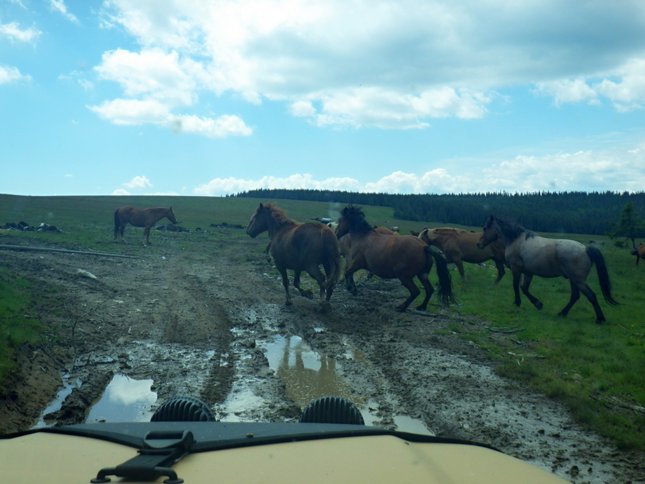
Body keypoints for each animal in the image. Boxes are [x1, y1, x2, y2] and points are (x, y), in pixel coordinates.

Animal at [477, 215, 617, 324]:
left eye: (485, 228)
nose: (478, 244)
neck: (516, 240)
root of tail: (586, 249)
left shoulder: (516, 270)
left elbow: (516, 286)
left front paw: (517, 303)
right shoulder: (528, 273)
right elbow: (524, 288)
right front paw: (538, 304)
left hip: (578, 280)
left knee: (591, 296)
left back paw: (600, 319)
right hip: (573, 280)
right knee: (575, 296)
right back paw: (562, 313)